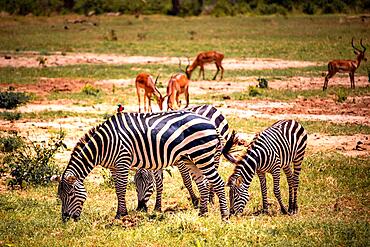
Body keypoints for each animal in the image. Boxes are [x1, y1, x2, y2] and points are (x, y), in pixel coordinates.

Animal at [54, 111, 234, 221]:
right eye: (60, 197)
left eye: (70, 195)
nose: (66, 219)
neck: (104, 144)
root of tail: (211, 123)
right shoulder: (114, 167)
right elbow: (117, 189)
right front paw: (121, 212)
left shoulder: (123, 160)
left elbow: (121, 188)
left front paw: (121, 215)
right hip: (192, 158)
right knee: (202, 184)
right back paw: (202, 213)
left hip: (203, 156)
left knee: (217, 182)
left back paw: (224, 216)